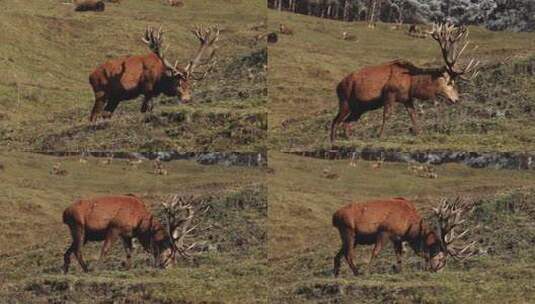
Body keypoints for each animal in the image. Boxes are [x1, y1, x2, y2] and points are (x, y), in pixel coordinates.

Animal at [62, 195, 205, 274]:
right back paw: (86, 269)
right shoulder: (114, 227)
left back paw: (65, 270)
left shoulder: (127, 235)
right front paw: (97, 268)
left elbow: (130, 252)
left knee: (68, 251)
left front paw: (128, 268)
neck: (140, 224)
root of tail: (64, 213)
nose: (169, 267)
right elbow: (105, 249)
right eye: (169, 251)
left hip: (84, 234)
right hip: (79, 227)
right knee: (77, 250)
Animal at [90, 25, 220, 121]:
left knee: (106, 113)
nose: (186, 99)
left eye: (189, 83)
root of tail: (90, 76)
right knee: (94, 115)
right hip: (101, 93)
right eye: (178, 83)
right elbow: (144, 110)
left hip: (115, 97)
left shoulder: (152, 93)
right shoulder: (148, 89)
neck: (160, 79)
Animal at [330, 23, 482, 142]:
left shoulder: (407, 98)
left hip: (361, 107)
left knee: (347, 122)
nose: (456, 99)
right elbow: (387, 115)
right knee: (336, 120)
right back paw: (332, 141)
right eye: (450, 82)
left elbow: (413, 115)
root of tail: (338, 85)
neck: (412, 83)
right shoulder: (389, 93)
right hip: (345, 100)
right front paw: (380, 135)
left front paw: (420, 134)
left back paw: (349, 138)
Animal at [332, 196, 480, 276]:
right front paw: (368, 271)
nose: (438, 271)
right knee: (348, 254)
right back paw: (357, 272)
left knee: (338, 255)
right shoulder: (385, 231)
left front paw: (400, 271)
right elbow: (376, 252)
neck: (411, 229)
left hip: (352, 237)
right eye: (442, 259)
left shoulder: (397, 238)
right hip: (349, 231)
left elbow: (399, 256)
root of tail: (334, 216)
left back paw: (336, 273)